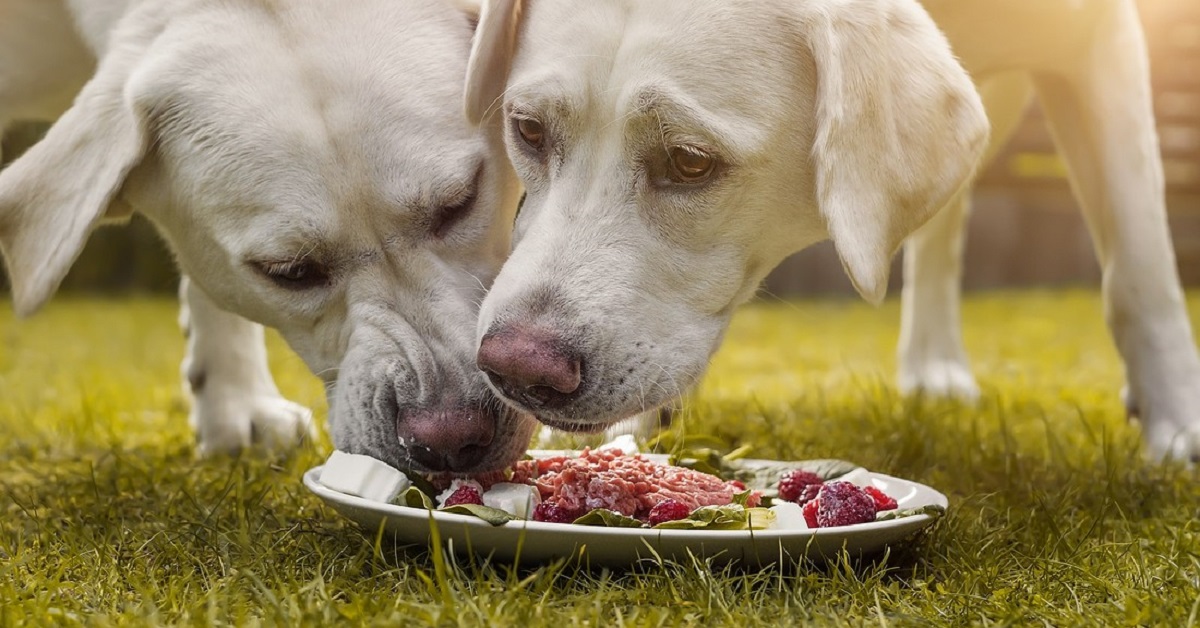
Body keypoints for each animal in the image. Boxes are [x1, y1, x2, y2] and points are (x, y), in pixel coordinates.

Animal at [463, 0, 1200, 461]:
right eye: (529, 130)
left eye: (690, 161)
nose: (516, 368)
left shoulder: (1102, 37)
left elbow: (1139, 265)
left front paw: (1179, 423)